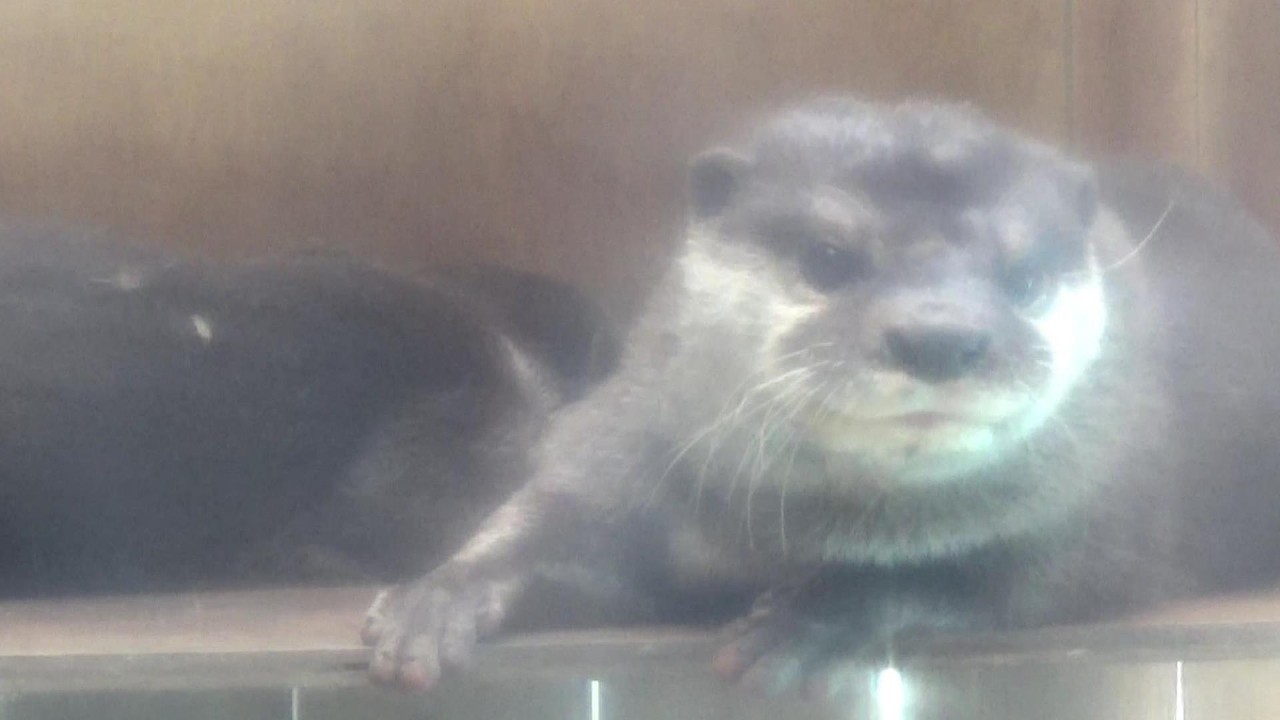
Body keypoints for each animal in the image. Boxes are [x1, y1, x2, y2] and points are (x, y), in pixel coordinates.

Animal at [363, 97, 1280, 694]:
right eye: (828, 257)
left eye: (1023, 277)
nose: (939, 336)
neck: (793, 529)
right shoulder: (632, 441)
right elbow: (549, 514)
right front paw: (434, 596)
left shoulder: (1099, 516)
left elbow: (970, 579)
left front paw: (813, 617)